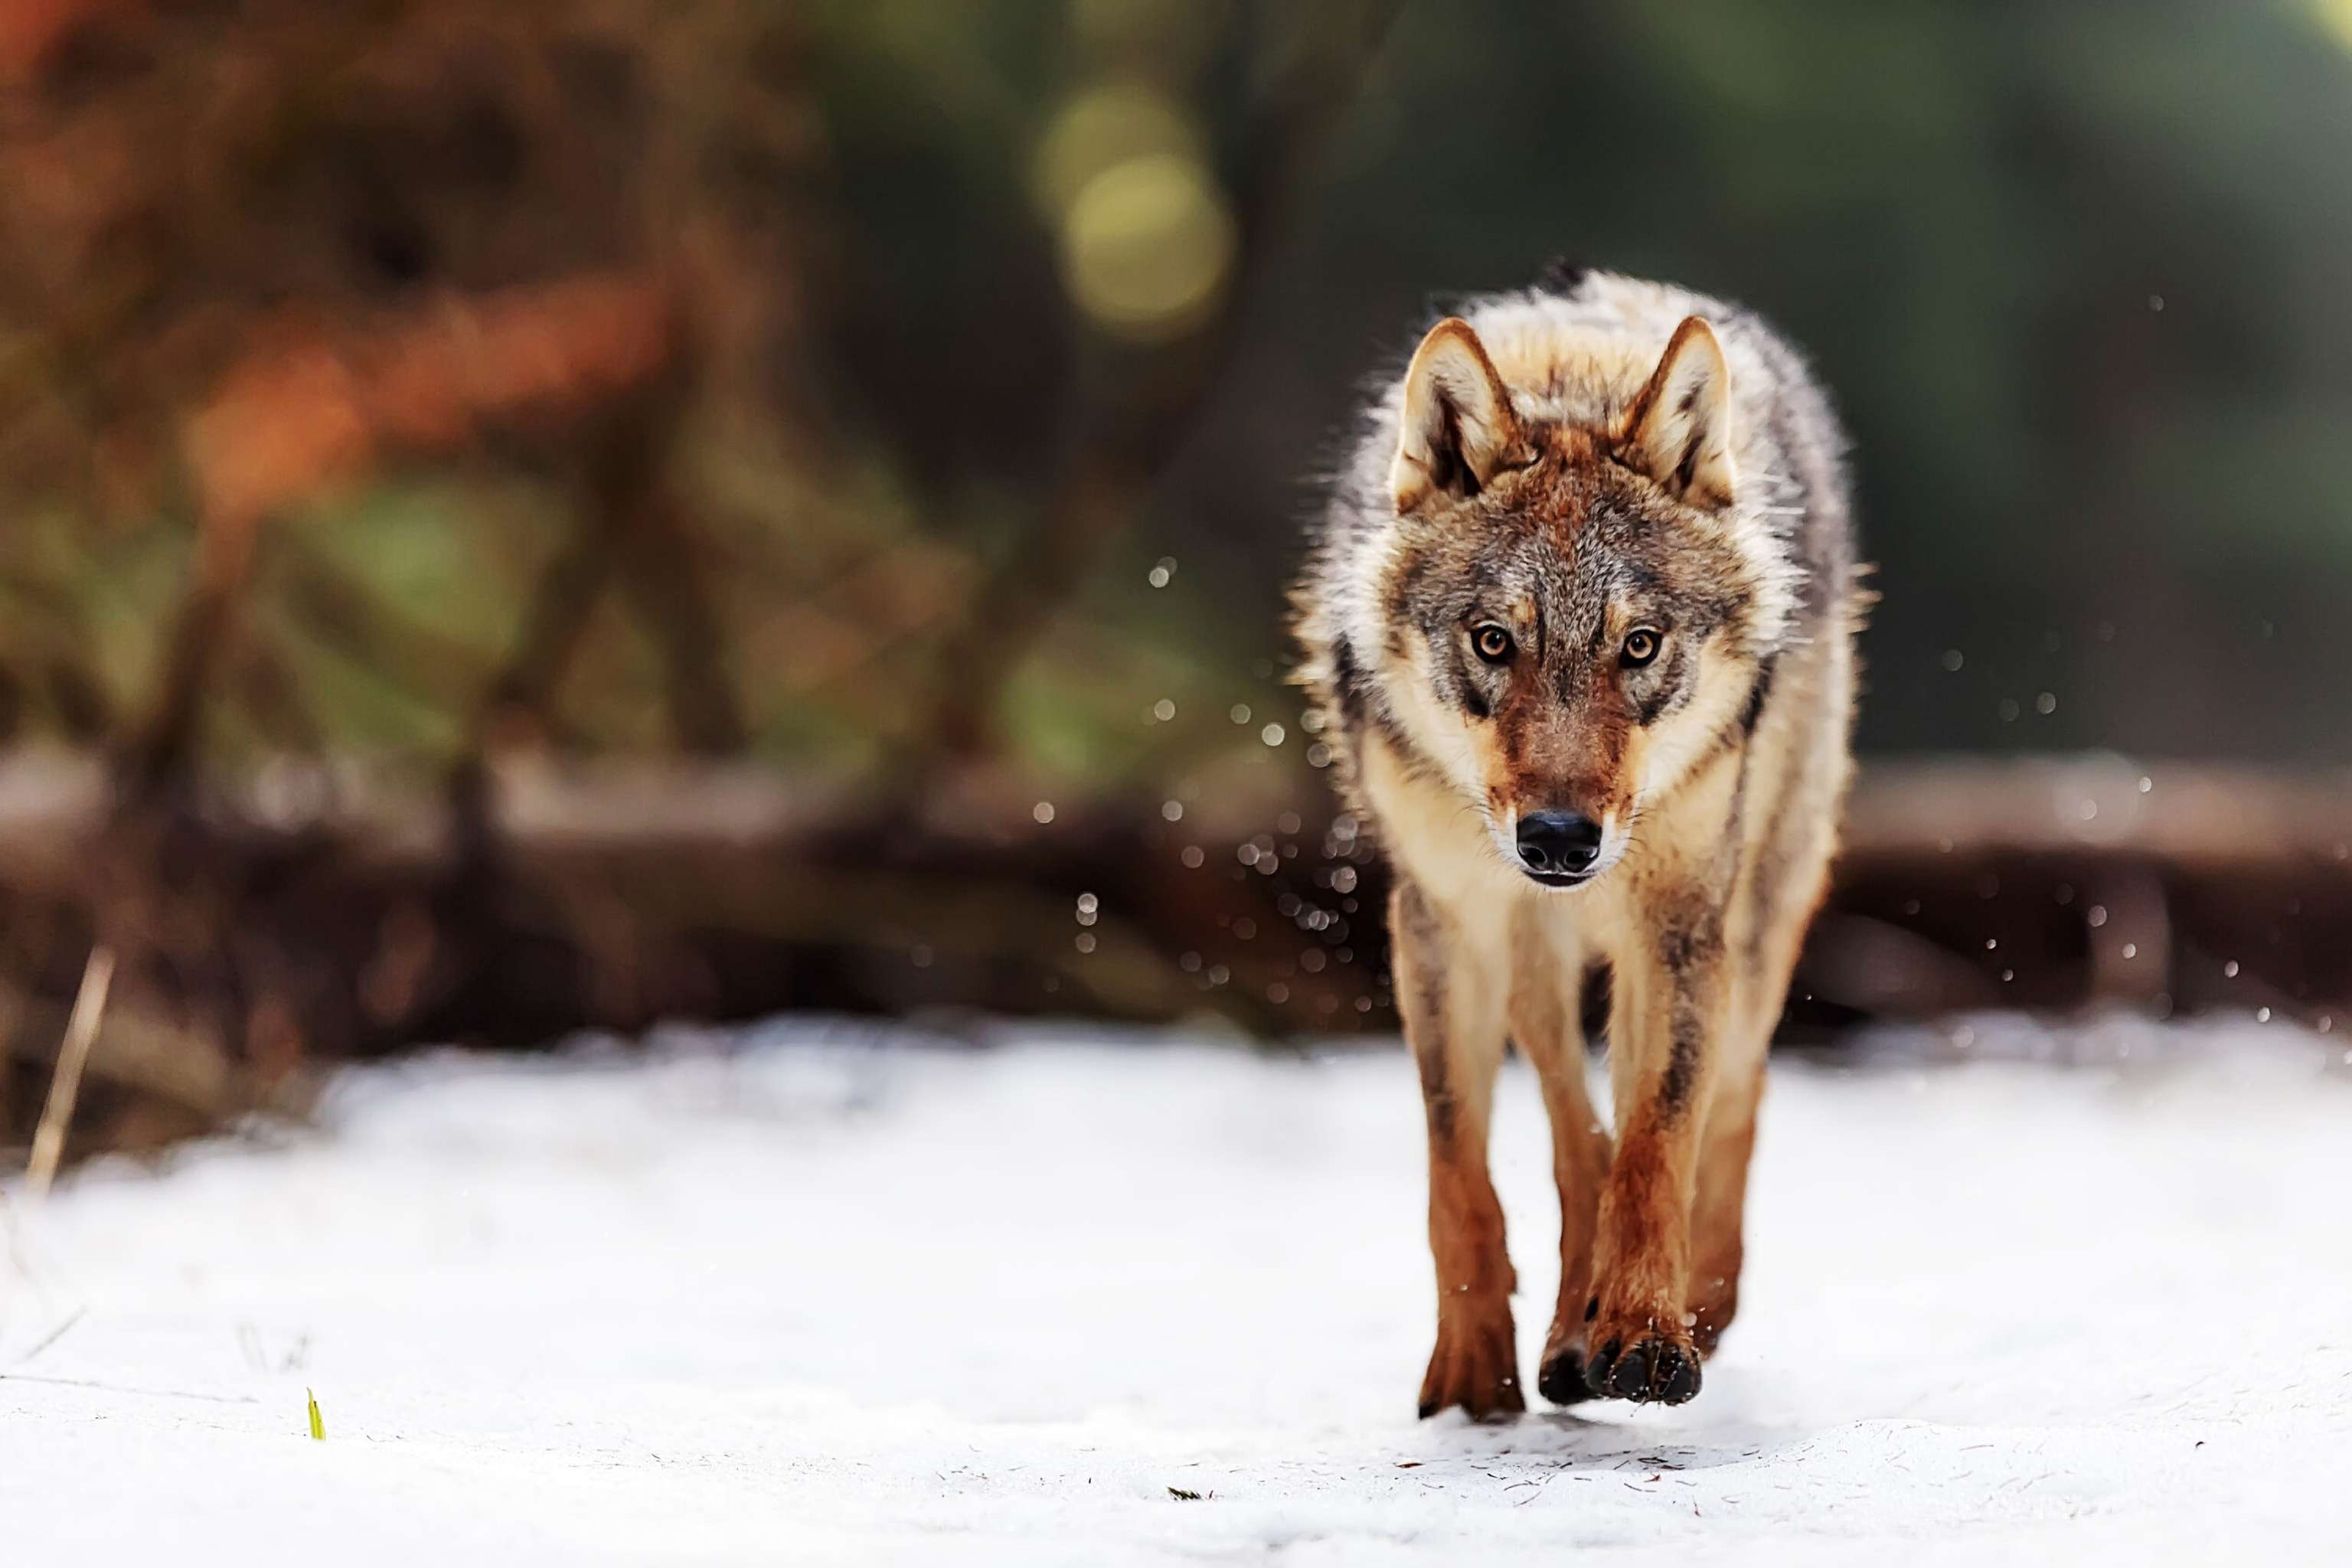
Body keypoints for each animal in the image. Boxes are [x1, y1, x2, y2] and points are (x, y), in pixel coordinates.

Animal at [1293, 266, 1865, 1413]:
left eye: (1638, 646)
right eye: (1493, 642)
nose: (1560, 841)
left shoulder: (1675, 923)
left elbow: (1657, 1139)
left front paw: (1647, 1331)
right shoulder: (1447, 922)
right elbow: (1465, 1164)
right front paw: (1476, 1369)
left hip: (1759, 908)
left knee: (1736, 1088)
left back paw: (1696, 1304)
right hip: (1528, 945)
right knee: (1570, 1115)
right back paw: (1565, 1337)